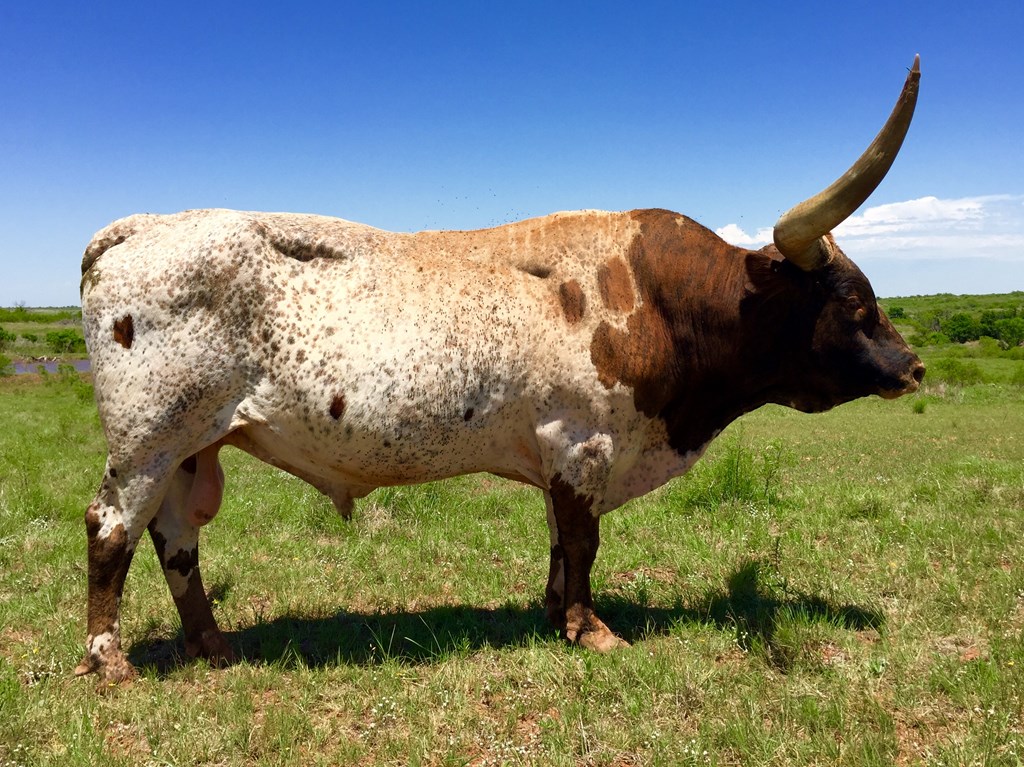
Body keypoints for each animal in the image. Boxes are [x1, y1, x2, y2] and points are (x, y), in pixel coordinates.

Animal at [76, 57, 924, 683]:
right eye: (854, 301)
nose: (913, 366)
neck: (659, 296)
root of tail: (139, 226)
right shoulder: (584, 442)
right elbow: (583, 539)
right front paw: (592, 629)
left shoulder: (557, 452)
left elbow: (558, 537)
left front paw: (554, 615)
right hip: (149, 438)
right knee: (111, 526)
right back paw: (108, 661)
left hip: (192, 446)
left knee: (176, 537)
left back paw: (213, 646)